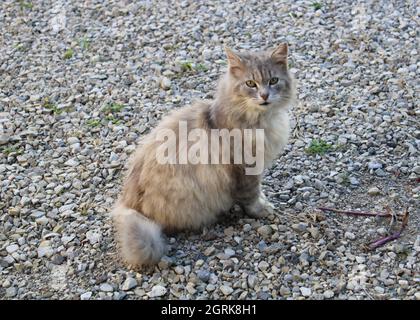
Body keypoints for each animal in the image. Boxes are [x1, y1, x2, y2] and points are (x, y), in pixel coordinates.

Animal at [111, 43, 296, 268]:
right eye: (250, 83)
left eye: (273, 81)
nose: (264, 95)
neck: (259, 120)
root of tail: (127, 204)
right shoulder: (244, 169)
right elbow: (251, 196)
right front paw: (261, 209)